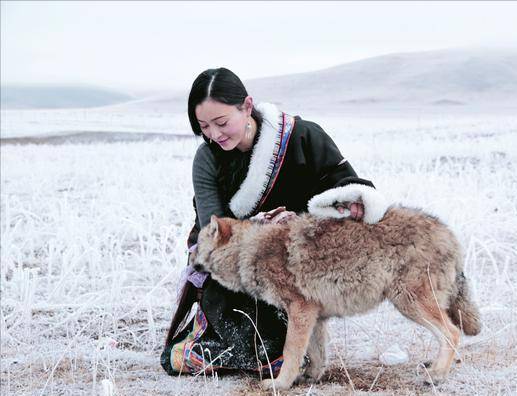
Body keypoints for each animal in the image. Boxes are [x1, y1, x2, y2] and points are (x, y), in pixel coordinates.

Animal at [189, 207, 480, 390]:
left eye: (197, 245)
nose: (189, 256)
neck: (247, 251)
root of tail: (449, 234)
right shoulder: (314, 316)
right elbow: (315, 353)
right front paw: (310, 377)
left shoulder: (300, 310)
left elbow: (292, 352)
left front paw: (280, 384)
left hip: (409, 303)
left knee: (452, 333)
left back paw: (437, 376)